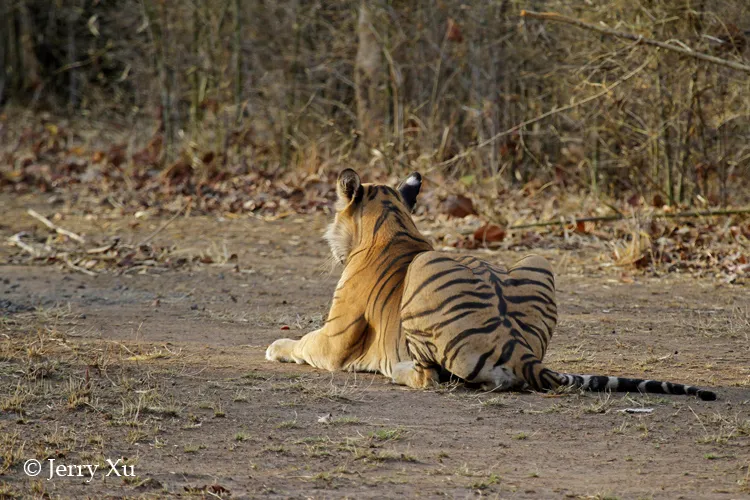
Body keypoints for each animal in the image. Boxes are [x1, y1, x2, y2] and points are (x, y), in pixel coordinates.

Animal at [268, 169, 720, 402]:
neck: (392, 221)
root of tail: (519, 350)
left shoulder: (333, 338)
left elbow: (300, 343)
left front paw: (275, 347)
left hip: (428, 279)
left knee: (431, 377)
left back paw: (398, 372)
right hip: (537, 261)